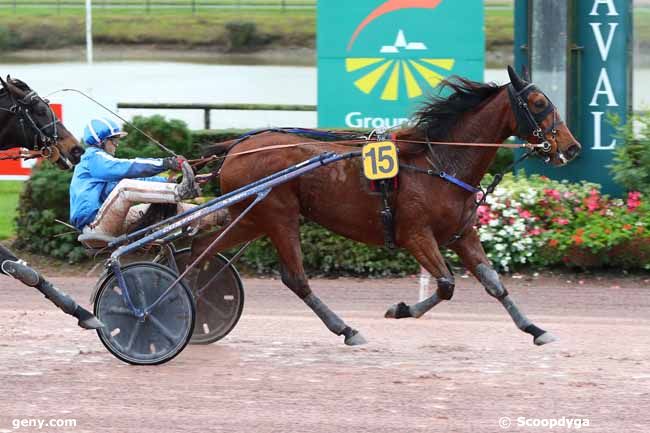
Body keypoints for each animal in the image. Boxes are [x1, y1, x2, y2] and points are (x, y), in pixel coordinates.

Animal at [195, 66, 580, 346]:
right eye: (538, 103)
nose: (572, 147)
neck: (440, 163)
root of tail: (236, 148)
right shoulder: (415, 234)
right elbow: (446, 284)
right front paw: (401, 309)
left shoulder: (461, 234)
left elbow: (494, 283)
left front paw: (535, 329)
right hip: (277, 216)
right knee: (295, 278)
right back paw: (346, 330)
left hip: (251, 218)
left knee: (200, 251)